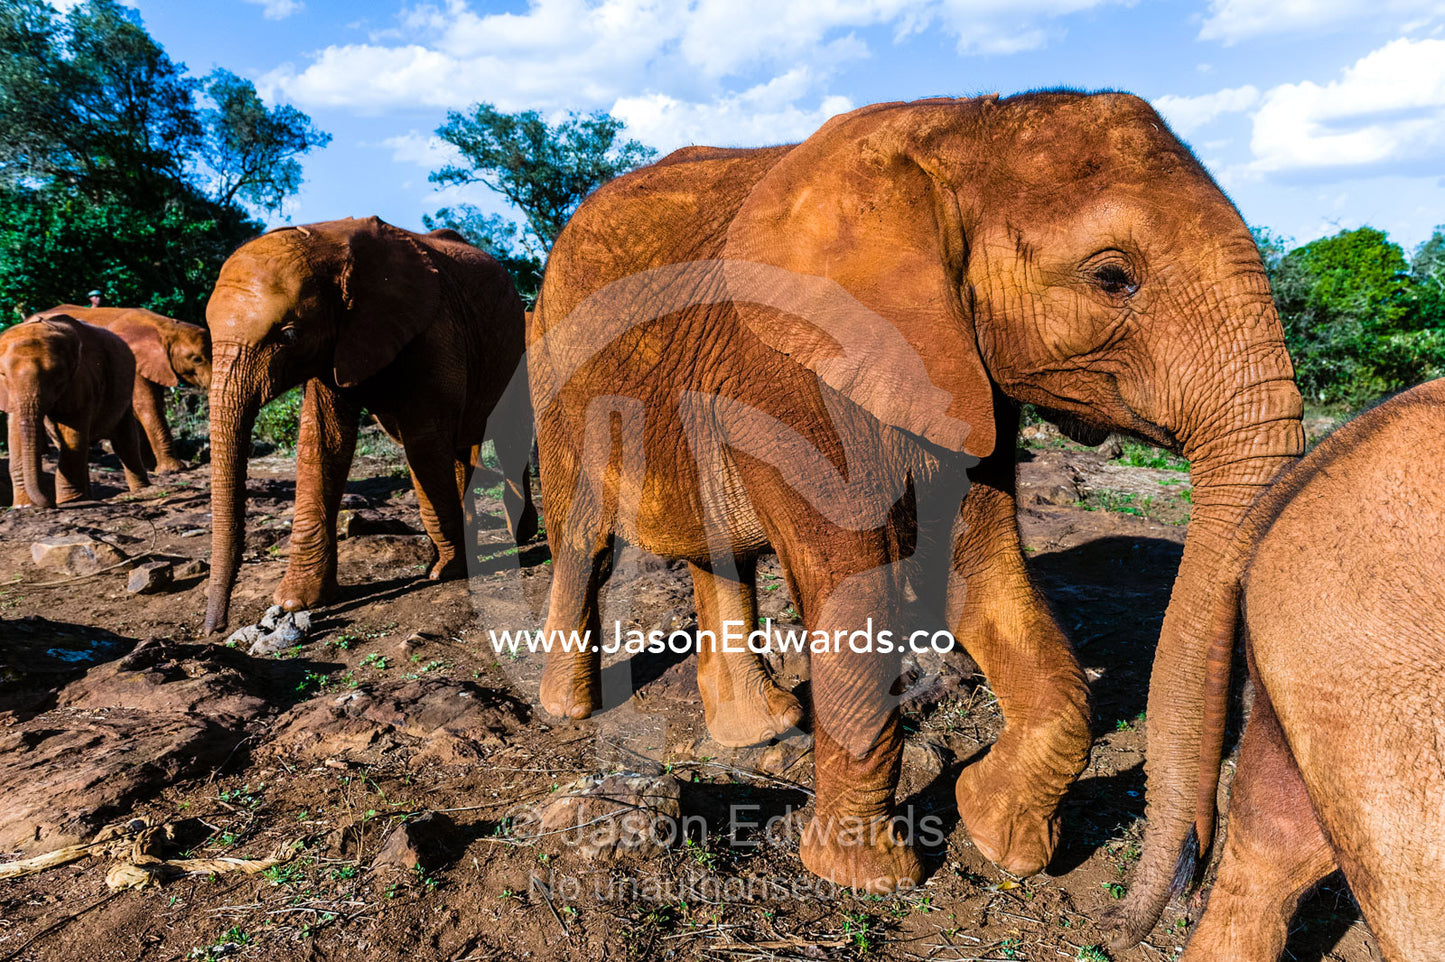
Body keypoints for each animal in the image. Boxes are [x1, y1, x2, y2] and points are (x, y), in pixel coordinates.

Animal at [0, 314, 150, 506]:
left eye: (58, 379)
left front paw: (69, 502)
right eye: (3, 375)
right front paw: (23, 506)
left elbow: (72, 431)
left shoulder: (83, 380)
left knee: (125, 442)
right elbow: (17, 431)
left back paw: (141, 490)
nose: (50, 503)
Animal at [32, 305, 212, 473]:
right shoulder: (135, 359)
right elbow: (147, 405)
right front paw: (173, 469)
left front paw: (149, 466)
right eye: (196, 359)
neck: (165, 326)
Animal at [203, 216, 537, 635]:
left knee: (509, 438)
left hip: (517, 347)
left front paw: (444, 572)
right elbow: (322, 442)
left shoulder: (435, 326)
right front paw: (296, 601)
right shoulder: (334, 344)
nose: (213, 628)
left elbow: (423, 439)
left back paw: (519, 535)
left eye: (289, 335)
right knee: (464, 446)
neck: (328, 241)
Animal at [528, 91, 1304, 905]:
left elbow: (976, 570)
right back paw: (569, 709)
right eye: (1113, 278)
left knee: (722, 553)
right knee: (583, 538)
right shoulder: (791, 372)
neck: (957, 126)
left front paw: (998, 837)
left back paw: (759, 730)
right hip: (559, 366)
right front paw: (869, 878)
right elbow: (856, 585)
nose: (1173, 889)